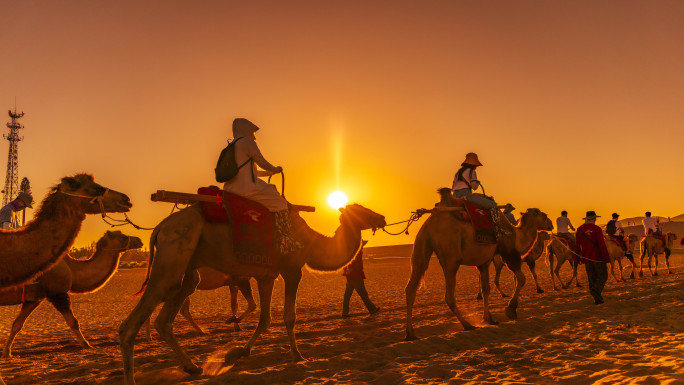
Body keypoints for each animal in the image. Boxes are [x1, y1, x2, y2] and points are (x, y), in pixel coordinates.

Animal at [1, 228, 142, 356]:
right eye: (124, 236)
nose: (139, 240)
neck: (71, 268)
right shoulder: (58, 293)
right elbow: (73, 322)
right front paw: (87, 345)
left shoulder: (34, 298)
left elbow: (17, 325)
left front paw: (7, 353)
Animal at [117, 202, 384, 382]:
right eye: (361, 209)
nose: (381, 217)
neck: (312, 242)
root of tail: (160, 227)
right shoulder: (291, 270)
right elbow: (289, 317)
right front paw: (298, 355)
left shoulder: (266, 276)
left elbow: (265, 319)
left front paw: (238, 352)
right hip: (172, 261)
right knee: (131, 325)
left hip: (187, 274)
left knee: (164, 319)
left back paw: (193, 367)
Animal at [404, 189, 552, 340]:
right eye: (543, 214)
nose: (551, 224)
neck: (516, 235)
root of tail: (429, 224)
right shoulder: (509, 253)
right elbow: (522, 279)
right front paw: (510, 310)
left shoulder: (484, 262)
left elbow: (486, 289)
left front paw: (489, 319)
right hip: (450, 258)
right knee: (449, 296)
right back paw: (467, 325)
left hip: (421, 247)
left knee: (411, 288)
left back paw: (410, 333)